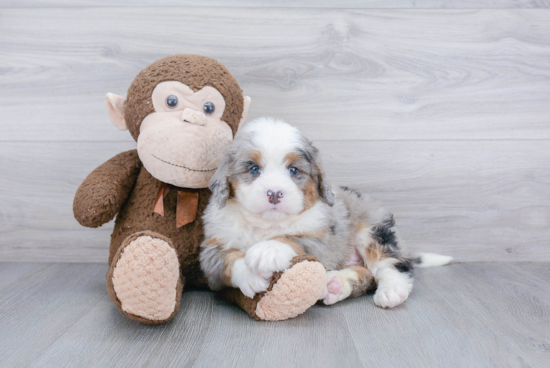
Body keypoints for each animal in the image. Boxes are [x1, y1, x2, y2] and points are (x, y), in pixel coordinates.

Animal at [201, 118, 450, 308]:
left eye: (293, 170)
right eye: (253, 168)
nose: (274, 193)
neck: (266, 225)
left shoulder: (325, 240)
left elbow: (294, 238)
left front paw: (267, 250)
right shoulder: (211, 251)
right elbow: (228, 259)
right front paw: (250, 275)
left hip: (374, 229)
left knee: (392, 265)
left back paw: (391, 291)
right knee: (367, 274)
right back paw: (335, 284)